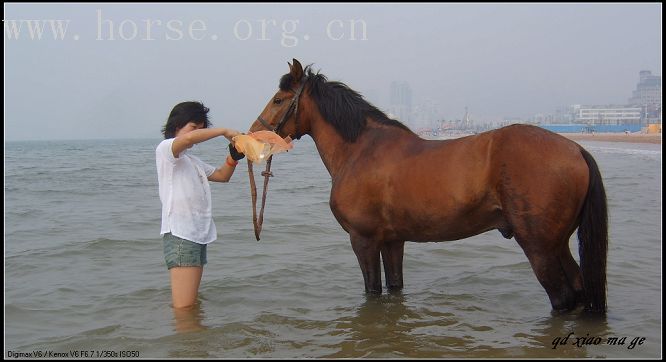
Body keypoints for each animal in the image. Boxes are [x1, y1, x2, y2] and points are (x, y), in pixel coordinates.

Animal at [249, 59, 608, 314]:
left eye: (279, 100)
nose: (250, 138)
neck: (360, 150)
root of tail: (575, 149)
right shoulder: (392, 241)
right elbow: (393, 288)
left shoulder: (363, 240)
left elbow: (372, 292)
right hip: (558, 244)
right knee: (579, 291)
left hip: (539, 247)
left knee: (563, 299)